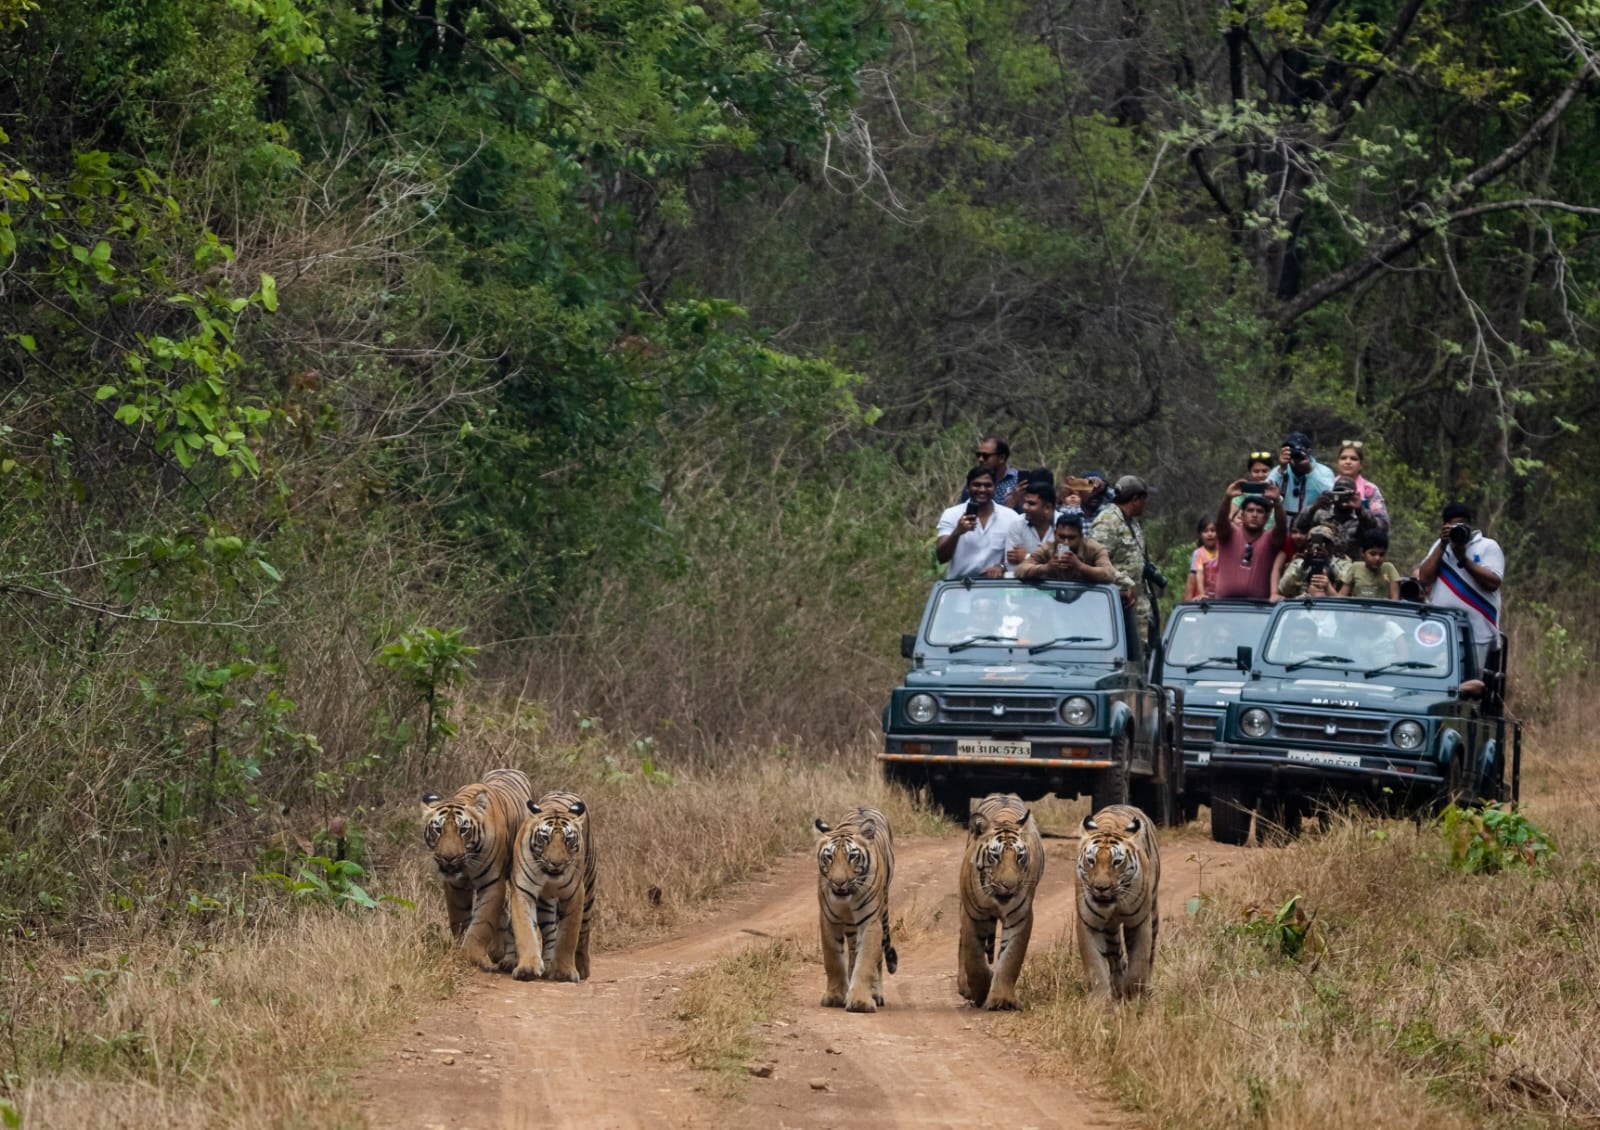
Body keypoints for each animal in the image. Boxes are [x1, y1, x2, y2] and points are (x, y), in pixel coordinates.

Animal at [420, 768, 533, 972]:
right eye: (438, 829)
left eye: (463, 830)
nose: (448, 858)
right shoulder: (454, 885)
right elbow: (459, 918)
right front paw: (461, 950)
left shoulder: (493, 883)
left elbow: (482, 922)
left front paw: (474, 956)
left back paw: (509, 959)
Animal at [509, 790, 597, 982]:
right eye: (544, 838)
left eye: (568, 839)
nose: (556, 863)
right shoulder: (523, 892)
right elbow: (526, 931)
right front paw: (528, 968)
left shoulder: (575, 895)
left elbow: (568, 936)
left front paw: (564, 972)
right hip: (545, 904)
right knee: (550, 932)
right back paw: (549, 964)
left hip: (589, 890)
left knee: (584, 931)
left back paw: (581, 967)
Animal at [814, 807, 898, 1013]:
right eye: (829, 856)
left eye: (852, 856)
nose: (839, 882)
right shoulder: (829, 920)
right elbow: (833, 959)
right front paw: (835, 996)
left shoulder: (870, 922)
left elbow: (866, 960)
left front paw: (860, 1001)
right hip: (851, 926)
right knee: (852, 951)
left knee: (876, 957)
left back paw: (875, 993)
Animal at [957, 793, 1045, 1011]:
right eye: (995, 856)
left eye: (1020, 857)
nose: (1009, 885)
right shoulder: (973, 916)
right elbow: (974, 959)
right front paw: (980, 991)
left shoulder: (1020, 917)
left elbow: (1010, 958)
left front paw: (1001, 1000)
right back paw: (964, 987)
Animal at [1075, 803, 1161, 1001]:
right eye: (1091, 860)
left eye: (1117, 861)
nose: (1101, 887)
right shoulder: (1088, 924)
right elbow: (1095, 966)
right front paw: (1100, 1001)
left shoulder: (1139, 923)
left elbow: (1139, 963)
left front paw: (1135, 996)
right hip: (1110, 930)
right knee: (1115, 956)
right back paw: (1117, 987)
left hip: (1153, 913)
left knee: (1151, 952)